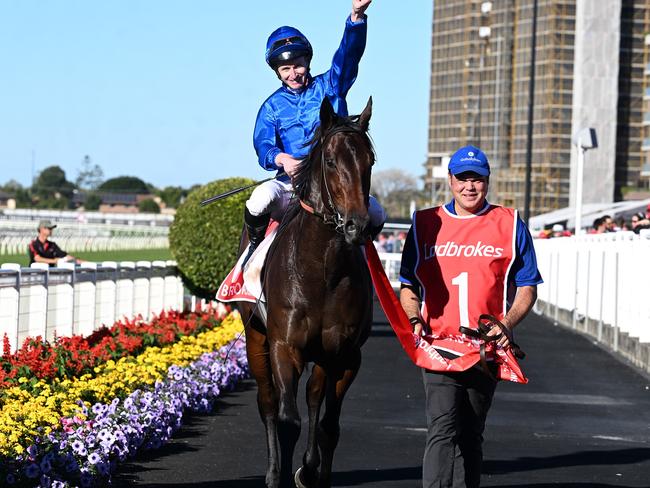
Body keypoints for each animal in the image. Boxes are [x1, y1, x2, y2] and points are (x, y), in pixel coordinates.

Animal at [238, 96, 372, 488]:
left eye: (369, 161)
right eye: (329, 160)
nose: (359, 225)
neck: (322, 271)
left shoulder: (345, 355)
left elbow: (328, 424)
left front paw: (312, 471)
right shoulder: (285, 346)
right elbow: (287, 420)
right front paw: (281, 474)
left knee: (314, 398)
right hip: (256, 337)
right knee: (268, 404)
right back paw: (273, 471)